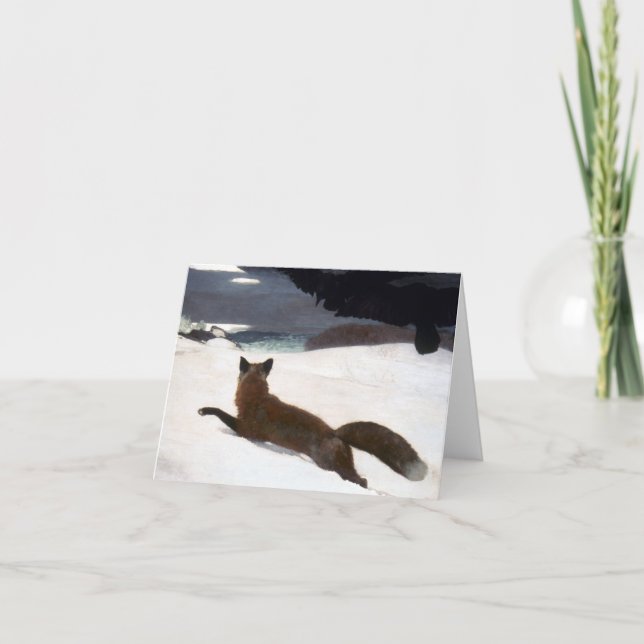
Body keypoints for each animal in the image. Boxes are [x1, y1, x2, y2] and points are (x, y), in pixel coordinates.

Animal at [198, 356, 428, 489]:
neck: (256, 399)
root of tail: (335, 432)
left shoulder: (246, 430)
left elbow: (220, 413)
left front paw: (204, 411)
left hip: (331, 466)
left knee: (361, 481)